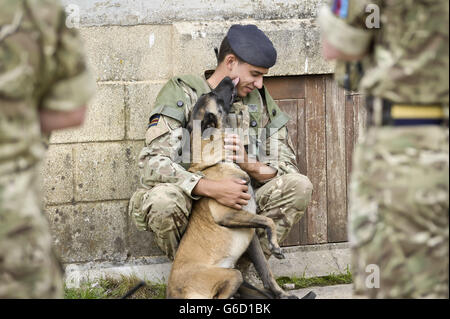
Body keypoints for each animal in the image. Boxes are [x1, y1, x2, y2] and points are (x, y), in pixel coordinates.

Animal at [167, 77, 312, 300]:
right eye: (213, 95)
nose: (228, 78)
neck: (220, 159)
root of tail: (172, 292)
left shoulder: (251, 236)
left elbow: (266, 271)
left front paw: (281, 293)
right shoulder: (227, 215)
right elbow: (269, 220)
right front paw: (275, 245)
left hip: (238, 277)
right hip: (232, 275)